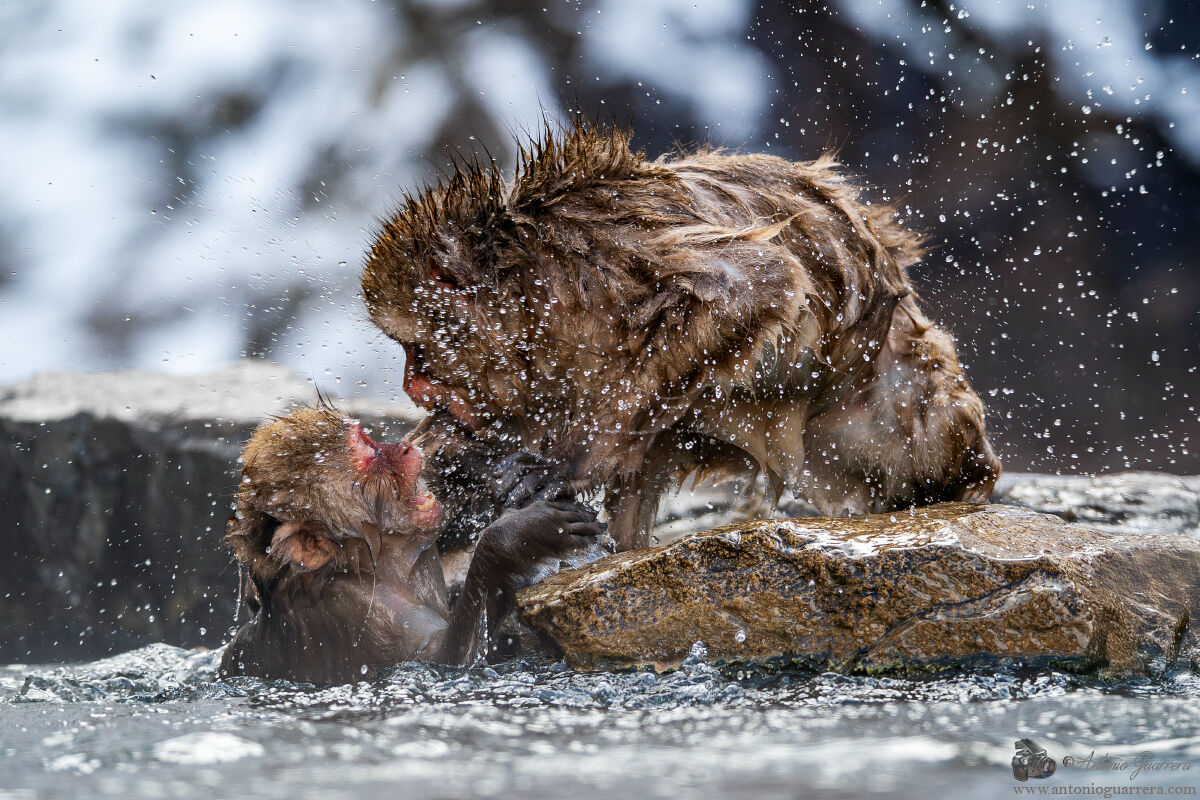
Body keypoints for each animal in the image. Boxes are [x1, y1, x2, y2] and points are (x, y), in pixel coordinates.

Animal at [219, 403, 602, 684]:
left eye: (368, 439)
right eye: (371, 459)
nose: (403, 447)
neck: (367, 565)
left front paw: (506, 471)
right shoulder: (363, 611)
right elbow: (445, 659)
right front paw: (519, 533)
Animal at [361, 123, 1001, 552]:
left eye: (415, 348)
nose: (413, 386)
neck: (534, 284)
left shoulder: (603, 255)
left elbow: (754, 282)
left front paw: (573, 457)